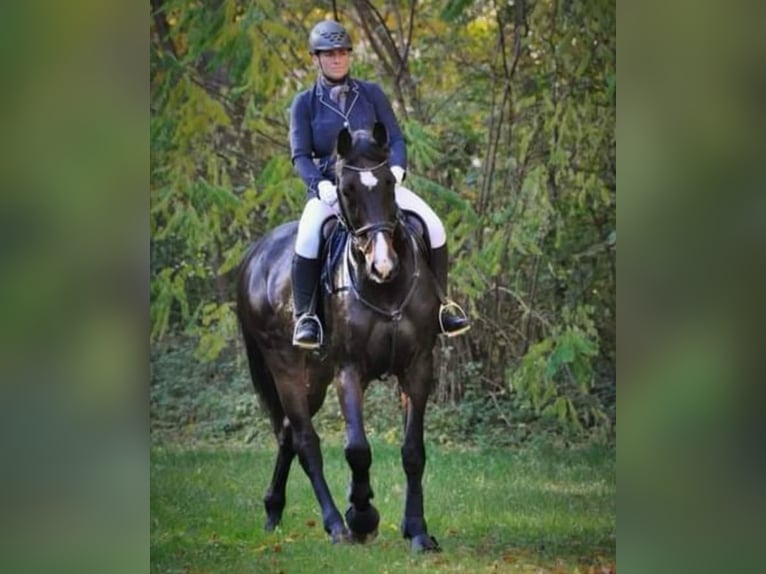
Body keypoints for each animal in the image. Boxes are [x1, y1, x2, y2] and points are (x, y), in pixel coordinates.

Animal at [237, 121, 444, 552]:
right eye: (346, 189)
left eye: (388, 183)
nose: (383, 265)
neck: (386, 290)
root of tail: (255, 255)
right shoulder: (349, 369)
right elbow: (357, 449)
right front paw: (363, 515)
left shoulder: (417, 366)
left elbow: (413, 451)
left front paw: (417, 531)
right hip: (286, 368)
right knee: (305, 441)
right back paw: (336, 524)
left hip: (313, 377)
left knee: (287, 434)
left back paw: (273, 510)